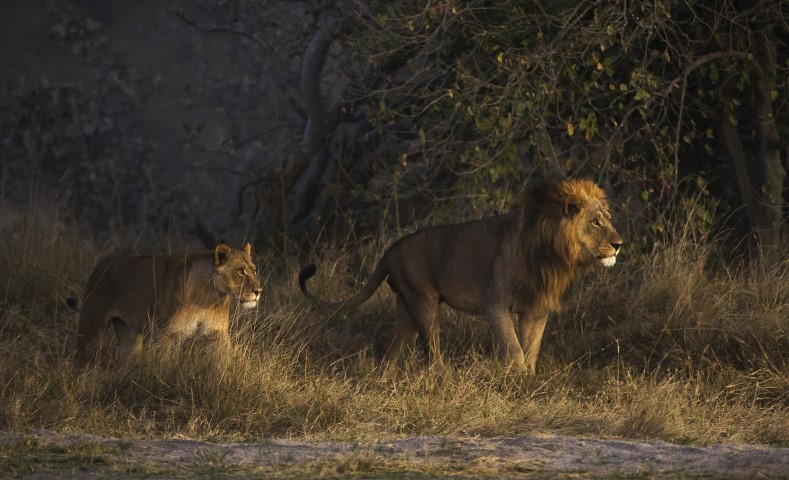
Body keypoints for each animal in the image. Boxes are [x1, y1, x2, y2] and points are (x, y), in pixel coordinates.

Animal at [75, 243, 262, 365]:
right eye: (240, 271)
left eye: (254, 270)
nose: (258, 291)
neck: (206, 297)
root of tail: (101, 264)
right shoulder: (166, 334)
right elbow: (164, 365)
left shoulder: (216, 334)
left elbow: (220, 364)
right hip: (91, 326)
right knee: (83, 361)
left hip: (129, 334)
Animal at [299, 178, 622, 374]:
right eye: (595, 222)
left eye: (608, 219)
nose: (619, 244)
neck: (552, 253)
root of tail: (389, 250)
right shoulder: (495, 305)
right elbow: (514, 349)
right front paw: (516, 382)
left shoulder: (536, 307)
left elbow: (531, 349)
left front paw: (529, 383)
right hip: (425, 302)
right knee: (432, 354)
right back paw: (441, 379)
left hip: (407, 308)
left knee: (393, 351)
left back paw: (385, 378)